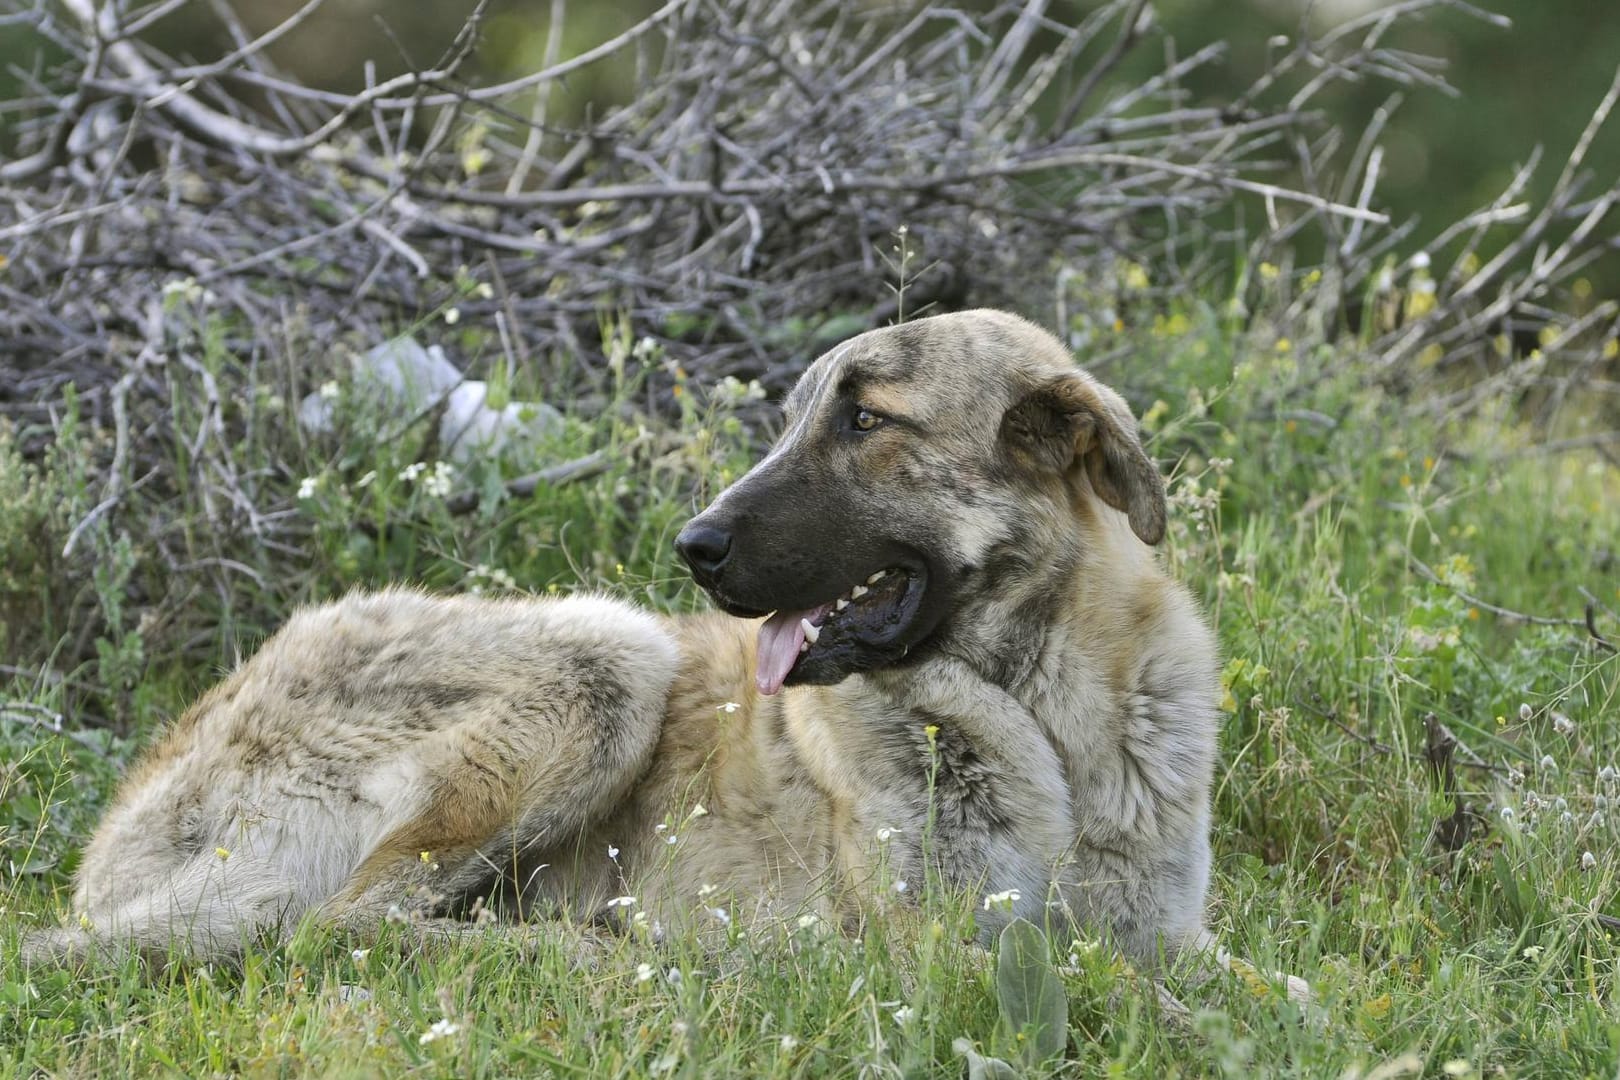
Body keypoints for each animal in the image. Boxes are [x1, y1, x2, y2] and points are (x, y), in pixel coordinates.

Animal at [25, 310, 1218, 971]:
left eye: (866, 420)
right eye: (799, 417)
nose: (693, 547)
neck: (1046, 707)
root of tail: (119, 844)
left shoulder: (1170, 932)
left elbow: (1222, 984)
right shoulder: (948, 950)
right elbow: (1132, 997)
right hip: (608, 658)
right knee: (346, 924)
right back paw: (610, 952)